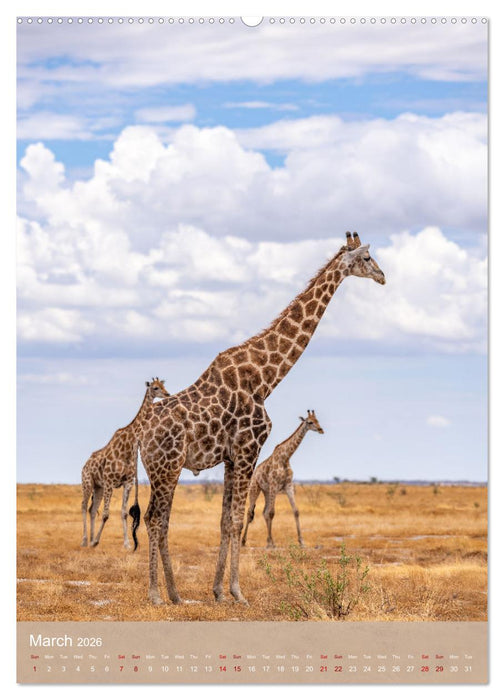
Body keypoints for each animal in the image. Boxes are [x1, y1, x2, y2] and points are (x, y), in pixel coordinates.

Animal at [81, 378, 170, 549]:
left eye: (163, 385)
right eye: (155, 388)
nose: (167, 394)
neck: (128, 446)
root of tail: (85, 465)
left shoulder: (127, 482)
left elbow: (123, 512)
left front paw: (127, 544)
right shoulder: (110, 481)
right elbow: (106, 514)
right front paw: (97, 541)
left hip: (98, 486)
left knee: (92, 509)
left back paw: (91, 539)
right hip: (87, 482)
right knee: (83, 506)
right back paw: (85, 540)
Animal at [241, 410, 324, 549]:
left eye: (318, 420)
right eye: (309, 422)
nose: (321, 430)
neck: (285, 458)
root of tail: (254, 472)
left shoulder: (288, 486)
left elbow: (296, 511)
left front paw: (301, 542)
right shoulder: (274, 485)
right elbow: (272, 513)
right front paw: (271, 544)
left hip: (267, 491)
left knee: (264, 512)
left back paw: (269, 541)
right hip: (255, 489)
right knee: (250, 512)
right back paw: (243, 541)